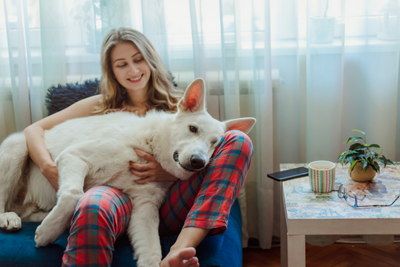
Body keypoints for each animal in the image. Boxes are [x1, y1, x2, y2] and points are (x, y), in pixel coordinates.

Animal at [0, 78, 256, 267]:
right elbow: (73, 193)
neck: (148, 146)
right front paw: (48, 233)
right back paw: (11, 218)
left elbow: (152, 252)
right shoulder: (73, 157)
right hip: (17, 147)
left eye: (214, 143)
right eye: (193, 129)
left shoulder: (144, 210)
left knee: (25, 212)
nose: (198, 162)